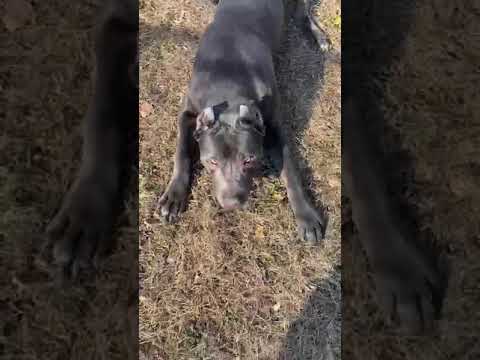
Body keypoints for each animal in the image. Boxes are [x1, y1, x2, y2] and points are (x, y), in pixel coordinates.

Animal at [158, 0, 330, 243]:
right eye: (212, 161)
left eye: (249, 159)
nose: (232, 203)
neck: (228, 81)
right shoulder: (187, 112)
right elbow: (181, 153)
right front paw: (174, 196)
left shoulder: (274, 125)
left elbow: (291, 170)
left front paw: (306, 215)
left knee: (305, 12)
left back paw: (320, 37)